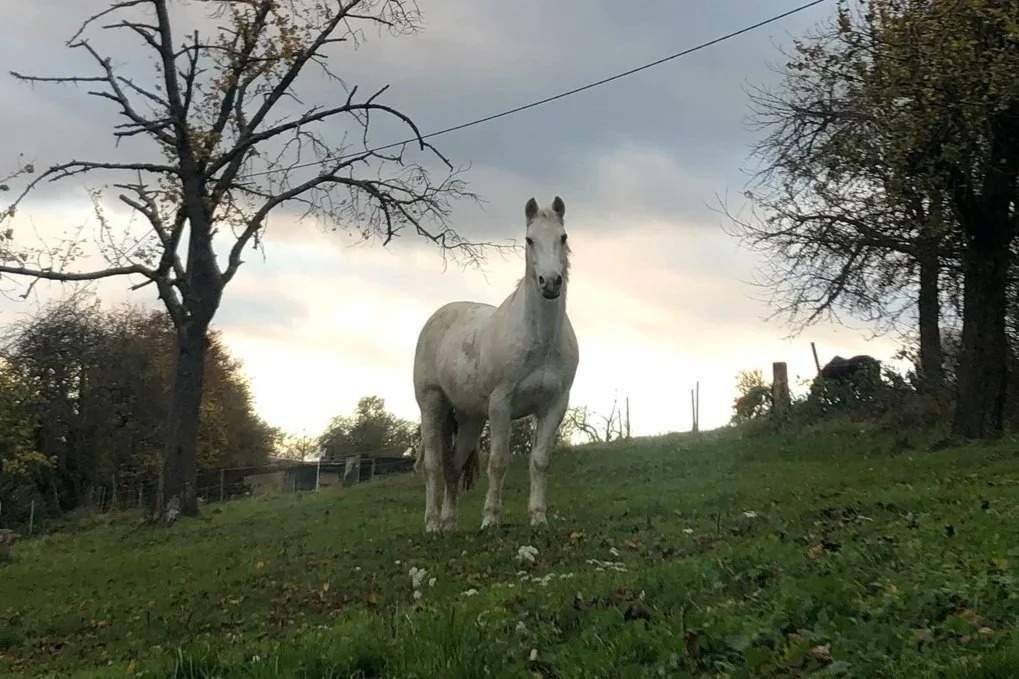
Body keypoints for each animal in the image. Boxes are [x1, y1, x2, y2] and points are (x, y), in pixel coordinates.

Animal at [412, 196, 579, 533]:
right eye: (529, 240)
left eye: (563, 237)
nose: (551, 283)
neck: (539, 339)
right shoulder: (502, 405)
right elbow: (499, 462)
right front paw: (490, 519)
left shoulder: (555, 405)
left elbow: (540, 461)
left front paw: (538, 518)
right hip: (432, 405)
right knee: (434, 466)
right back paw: (433, 524)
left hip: (470, 418)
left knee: (454, 467)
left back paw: (449, 524)